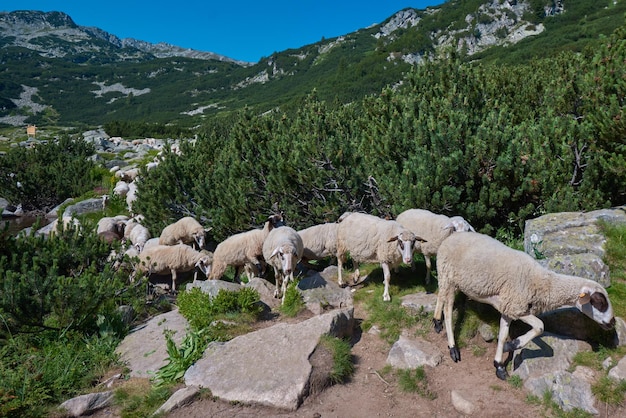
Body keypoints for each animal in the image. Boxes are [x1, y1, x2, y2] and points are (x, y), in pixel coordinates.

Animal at [432, 233, 612, 380]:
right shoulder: (517, 307)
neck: (541, 283)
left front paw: (499, 365)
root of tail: (449, 238)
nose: (612, 323)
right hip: (448, 275)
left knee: (441, 295)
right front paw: (512, 345)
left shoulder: (508, 306)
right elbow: (540, 326)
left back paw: (436, 321)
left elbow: (503, 334)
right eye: (599, 302)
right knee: (448, 310)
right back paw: (452, 347)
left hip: (447, 278)